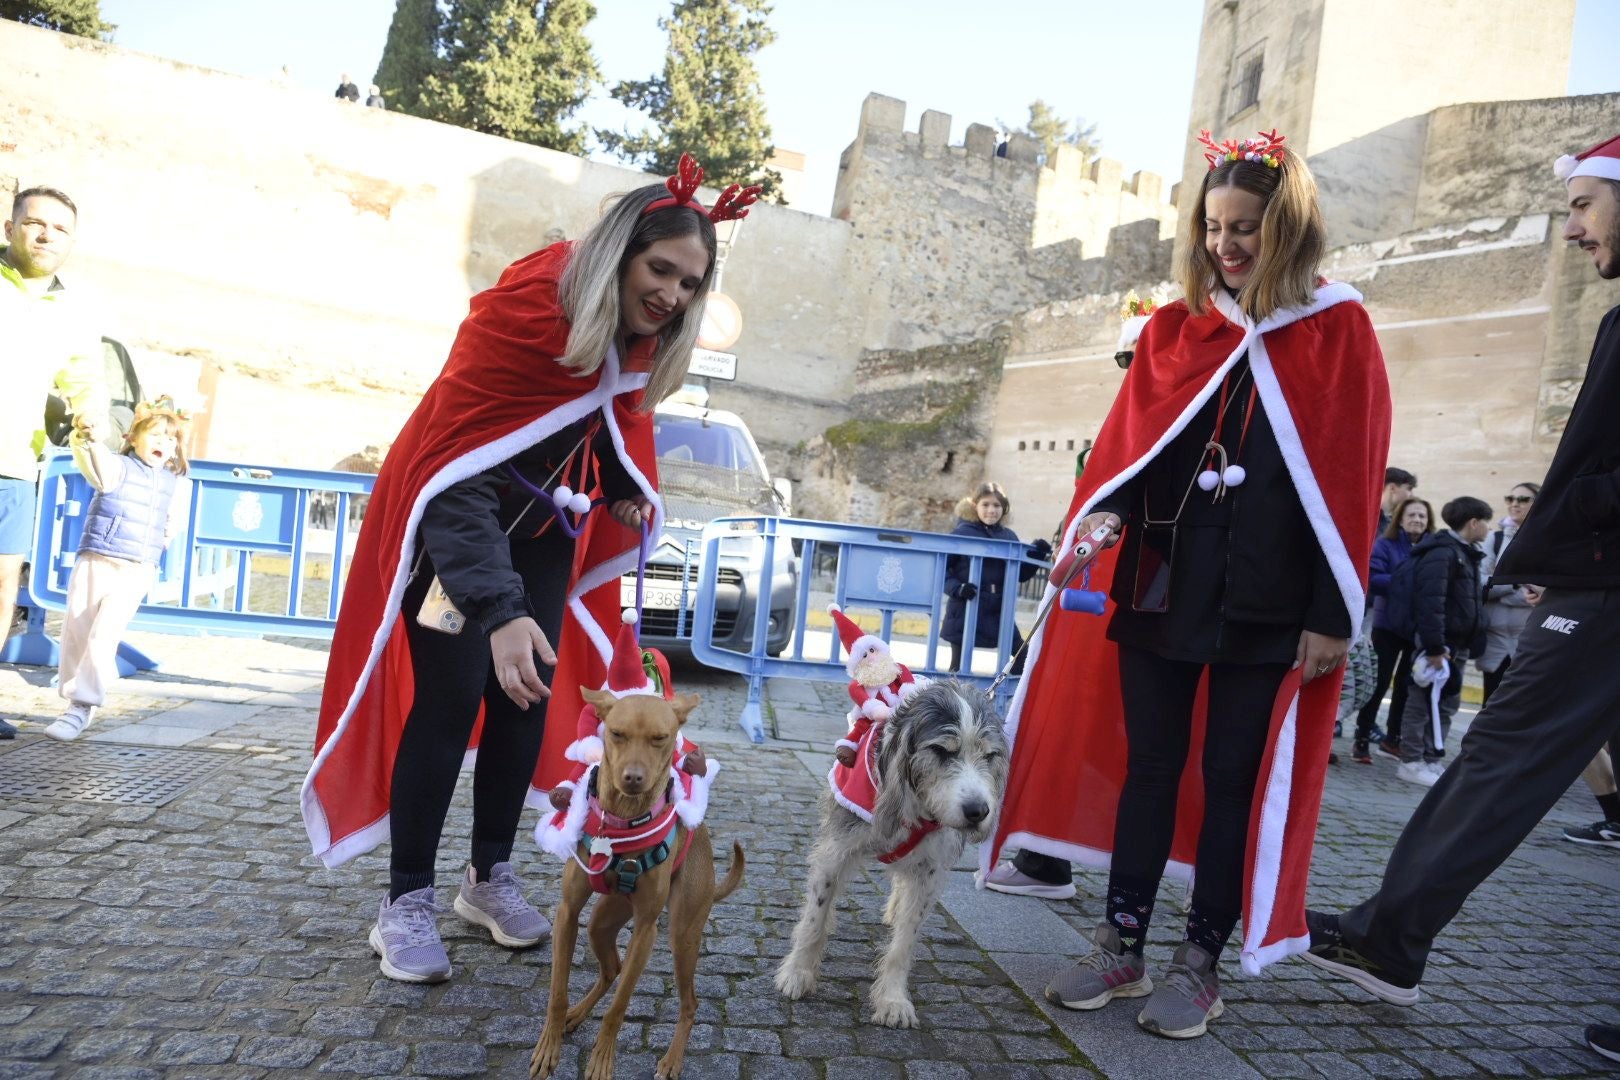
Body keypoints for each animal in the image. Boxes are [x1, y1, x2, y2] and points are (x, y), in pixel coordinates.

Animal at [528, 689, 741, 1075]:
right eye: (616, 734)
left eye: (660, 738)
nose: (632, 777)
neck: (620, 822)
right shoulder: (567, 913)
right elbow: (557, 992)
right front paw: (548, 1046)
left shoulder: (645, 930)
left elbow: (619, 1006)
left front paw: (601, 1059)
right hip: (601, 922)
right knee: (611, 969)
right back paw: (575, 1015)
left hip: (682, 935)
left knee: (689, 1003)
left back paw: (672, 1060)